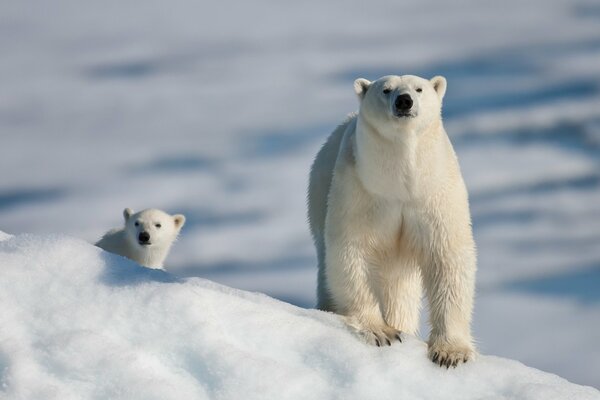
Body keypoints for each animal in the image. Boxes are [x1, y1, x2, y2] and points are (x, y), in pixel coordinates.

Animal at [308, 73, 476, 368]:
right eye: (386, 90)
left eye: (419, 89)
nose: (404, 101)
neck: (400, 183)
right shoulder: (360, 189)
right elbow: (352, 252)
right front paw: (381, 331)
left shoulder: (434, 192)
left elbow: (447, 257)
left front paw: (450, 352)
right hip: (319, 195)